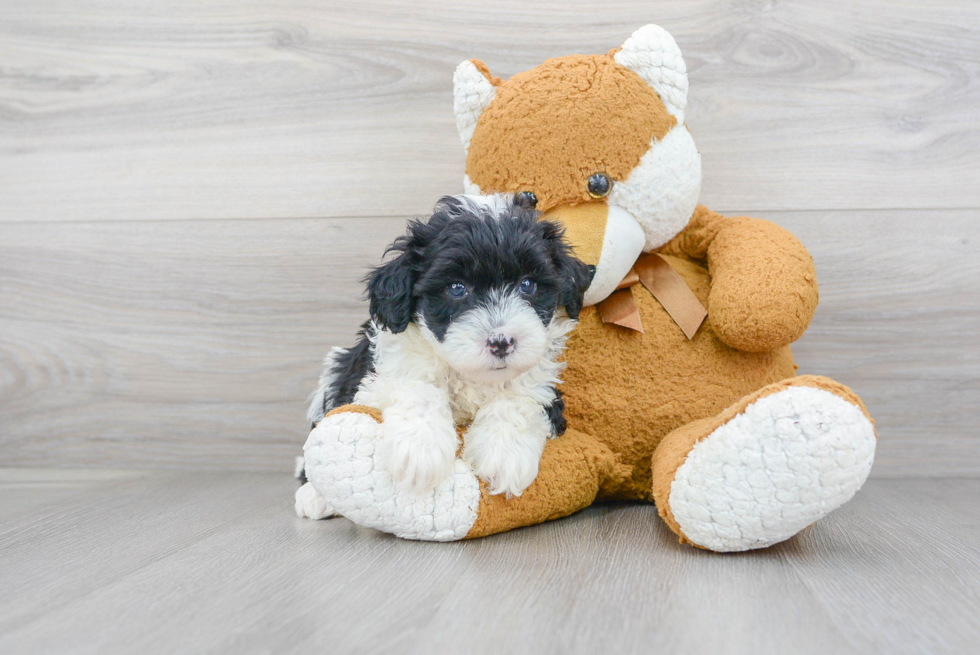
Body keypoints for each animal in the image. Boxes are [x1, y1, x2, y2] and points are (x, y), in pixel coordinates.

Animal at [302, 193, 588, 498]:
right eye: (456, 288)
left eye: (528, 284)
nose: (501, 342)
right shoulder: (377, 379)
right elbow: (419, 389)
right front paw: (419, 451)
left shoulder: (545, 389)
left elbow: (520, 398)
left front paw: (503, 452)